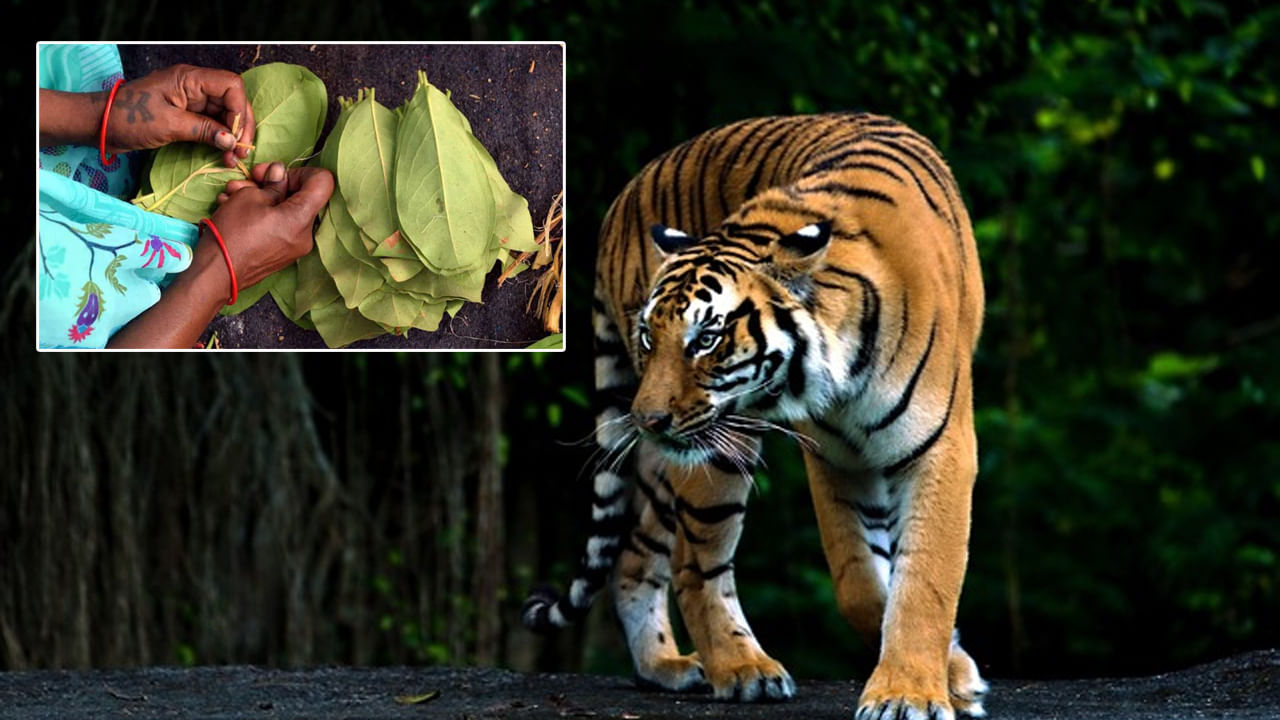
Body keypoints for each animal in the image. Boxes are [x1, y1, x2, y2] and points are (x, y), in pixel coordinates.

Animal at [523, 113, 988, 720]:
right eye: (651, 336)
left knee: (634, 553)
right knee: (692, 565)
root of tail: (622, 200)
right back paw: (743, 669)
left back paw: (663, 666)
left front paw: (914, 688)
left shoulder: (937, 447)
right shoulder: (835, 458)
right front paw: (922, 684)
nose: (648, 419)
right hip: (717, 447)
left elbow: (924, 576)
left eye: (705, 339)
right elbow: (859, 582)